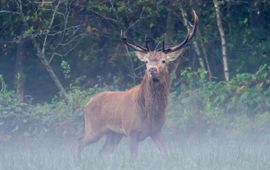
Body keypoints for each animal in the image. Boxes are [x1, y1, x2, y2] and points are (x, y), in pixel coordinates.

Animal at [78, 9, 198, 159]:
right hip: (93, 128)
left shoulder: (156, 131)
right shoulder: (131, 131)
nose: (152, 69)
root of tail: (88, 103)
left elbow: (166, 153)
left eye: (163, 61)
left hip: (113, 134)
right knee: (79, 142)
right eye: (146, 61)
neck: (149, 112)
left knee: (102, 152)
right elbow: (133, 157)